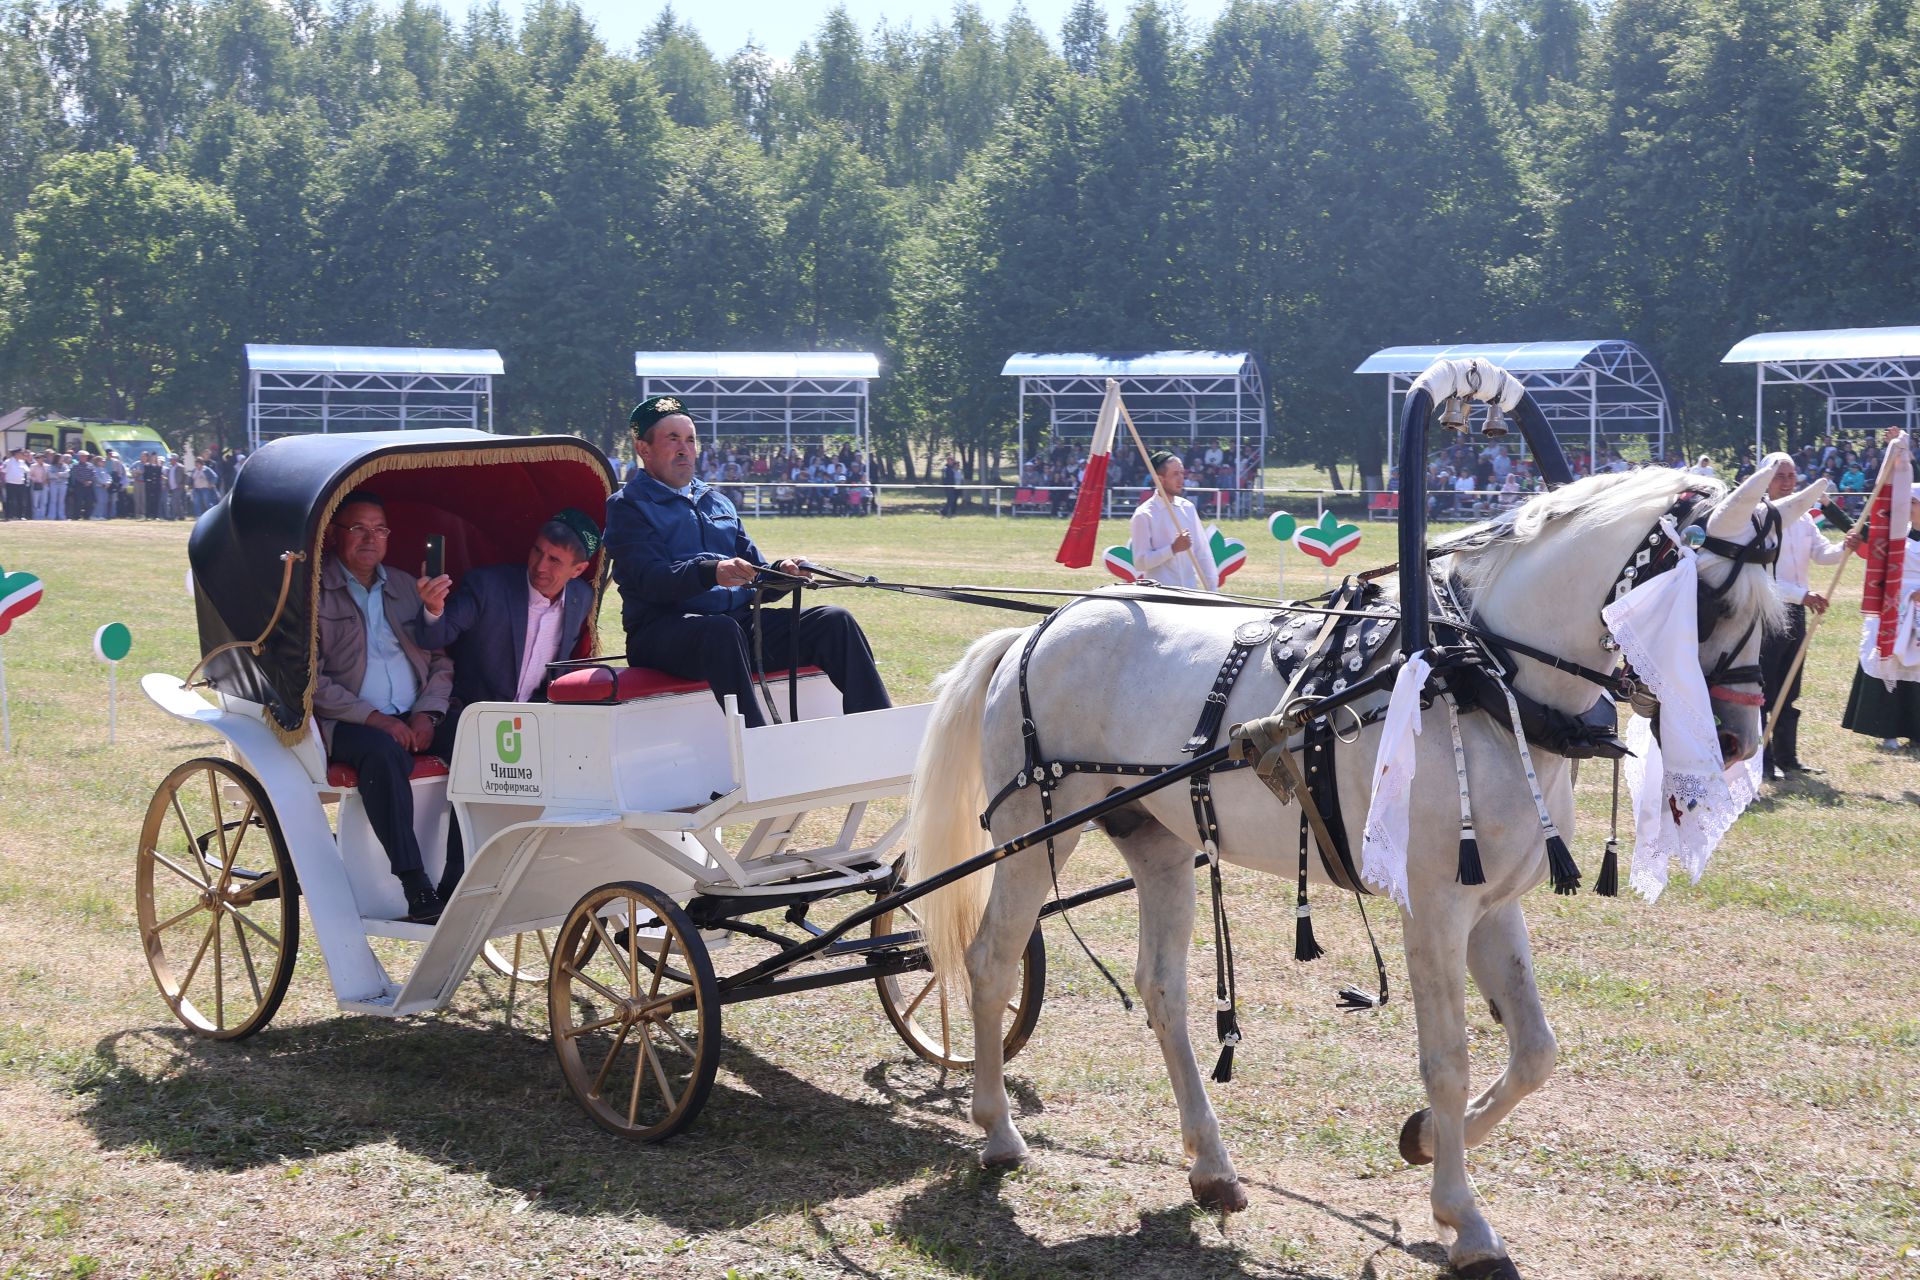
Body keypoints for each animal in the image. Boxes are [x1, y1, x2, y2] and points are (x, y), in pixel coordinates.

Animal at [902, 462, 1812, 1280]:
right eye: (1712, 599)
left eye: (1777, 608)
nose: (1736, 743)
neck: (1481, 678)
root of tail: (1037, 631)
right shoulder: (1435, 907)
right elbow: (1448, 1058)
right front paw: (1465, 1220)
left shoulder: (1493, 906)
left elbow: (1534, 1051)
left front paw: (1428, 1139)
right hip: (1032, 833)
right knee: (991, 962)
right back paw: (997, 1130)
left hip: (1157, 844)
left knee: (1162, 991)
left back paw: (1211, 1166)